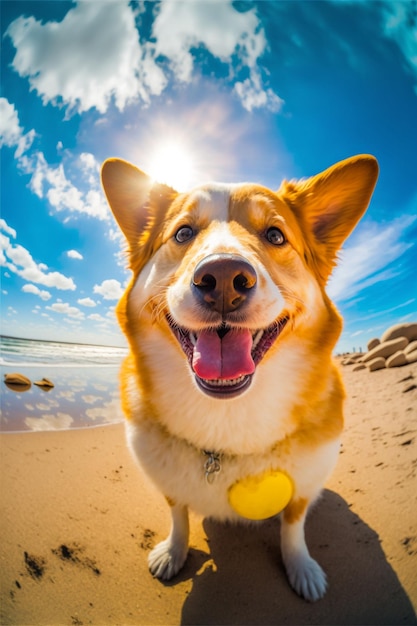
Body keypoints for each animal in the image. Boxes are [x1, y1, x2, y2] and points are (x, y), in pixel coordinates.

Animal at [101, 155, 376, 600]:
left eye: (275, 235)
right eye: (183, 232)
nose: (224, 278)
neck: (226, 415)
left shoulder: (302, 489)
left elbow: (293, 527)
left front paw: (303, 570)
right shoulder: (169, 487)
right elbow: (178, 516)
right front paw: (172, 554)